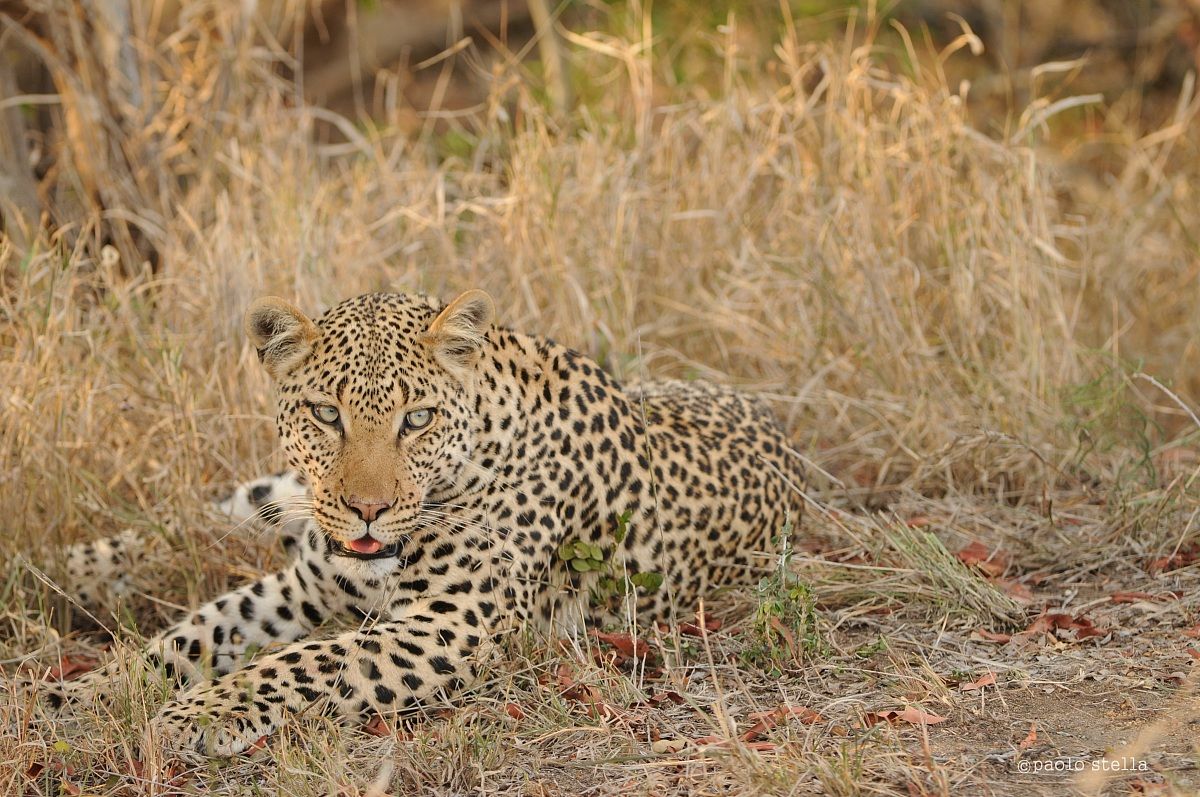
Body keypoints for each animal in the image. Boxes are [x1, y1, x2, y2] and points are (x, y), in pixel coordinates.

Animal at [40, 289, 806, 756]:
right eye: (327, 414)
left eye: (418, 419)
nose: (367, 510)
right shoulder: (303, 585)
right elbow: (190, 633)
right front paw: (84, 694)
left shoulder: (448, 623)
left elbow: (298, 660)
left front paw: (189, 716)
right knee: (235, 510)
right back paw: (80, 566)